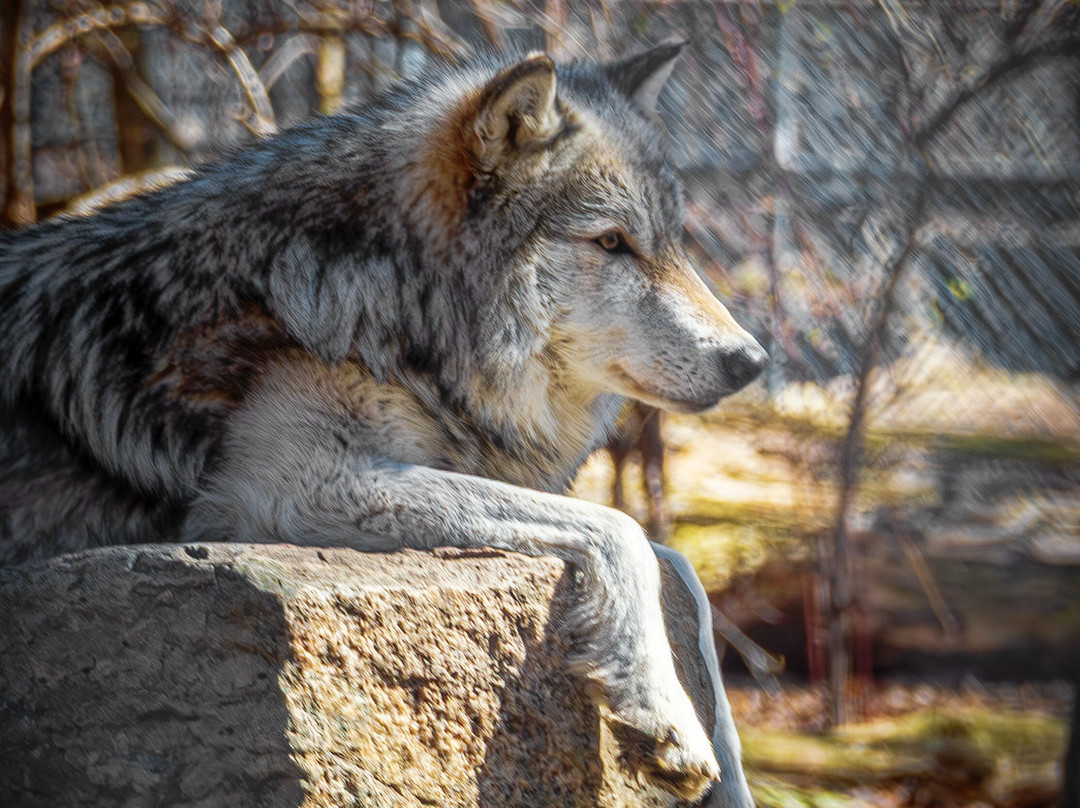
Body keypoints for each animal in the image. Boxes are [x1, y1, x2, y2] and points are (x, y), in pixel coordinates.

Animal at [0, 43, 766, 805]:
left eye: (673, 243)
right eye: (611, 241)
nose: (751, 361)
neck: (386, 294)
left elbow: (684, 580)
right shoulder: (295, 489)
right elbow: (622, 529)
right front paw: (665, 714)